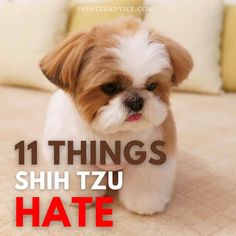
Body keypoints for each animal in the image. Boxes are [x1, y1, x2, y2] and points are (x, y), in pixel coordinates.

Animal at [40, 16, 192, 215]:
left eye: (152, 86)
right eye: (109, 87)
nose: (136, 101)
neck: (114, 134)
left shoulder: (154, 150)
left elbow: (146, 179)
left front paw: (145, 202)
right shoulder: (71, 152)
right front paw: (80, 196)